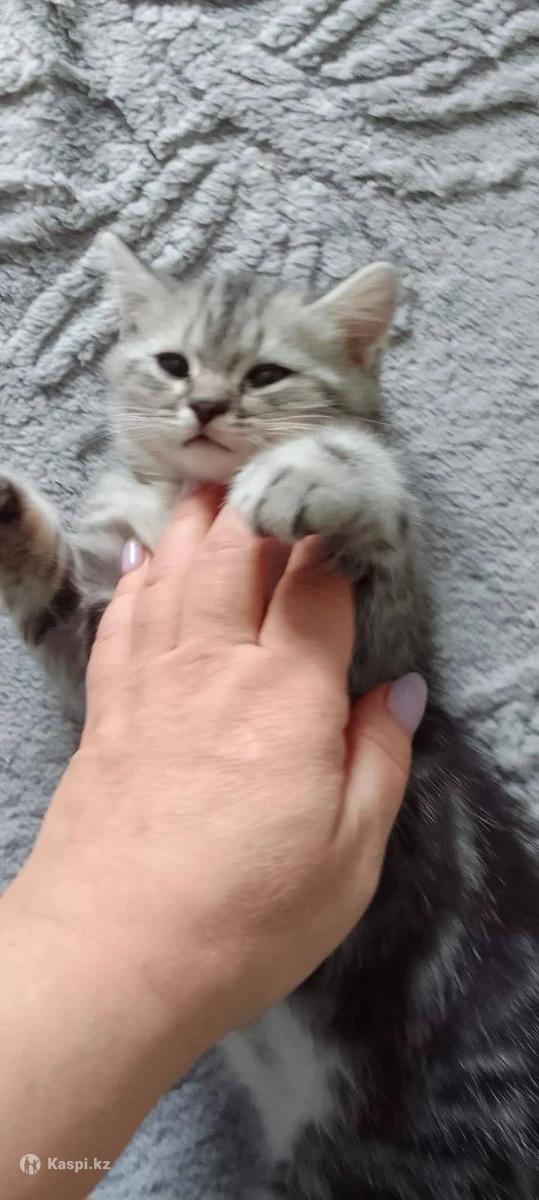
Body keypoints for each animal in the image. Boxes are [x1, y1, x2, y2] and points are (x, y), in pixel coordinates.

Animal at [0, 235, 537, 1198]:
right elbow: (47, 590)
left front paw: (310, 468)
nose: (207, 405)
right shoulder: (93, 636)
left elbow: (379, 492)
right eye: (173, 364)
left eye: (267, 374)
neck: (191, 500)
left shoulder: (387, 650)